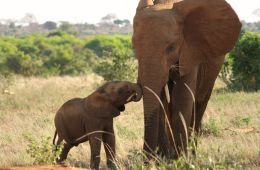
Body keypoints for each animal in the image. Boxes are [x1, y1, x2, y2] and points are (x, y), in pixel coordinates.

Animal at [133, 0, 241, 159]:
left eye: (171, 47)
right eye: (134, 47)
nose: (147, 160)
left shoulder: (190, 51)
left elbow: (182, 96)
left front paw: (181, 159)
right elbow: (161, 99)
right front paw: (167, 158)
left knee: (199, 103)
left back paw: (192, 154)